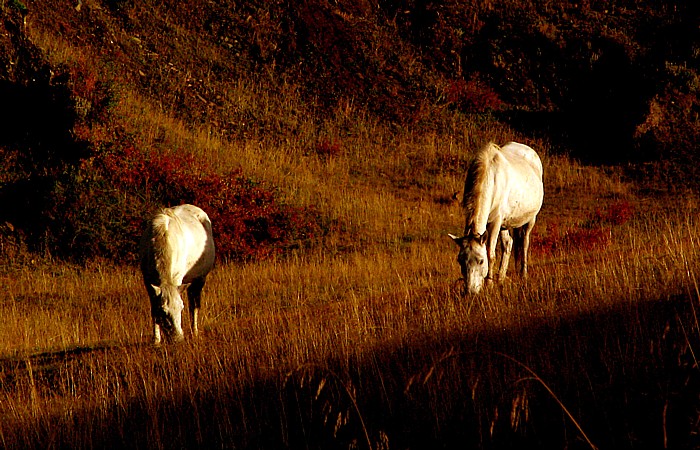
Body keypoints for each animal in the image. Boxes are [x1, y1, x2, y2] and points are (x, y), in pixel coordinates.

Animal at [137, 204, 213, 344]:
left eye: (180, 308)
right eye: (164, 311)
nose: (178, 339)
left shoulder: (177, 279)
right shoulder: (147, 281)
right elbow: (153, 309)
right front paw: (156, 340)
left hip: (200, 280)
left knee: (194, 305)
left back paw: (195, 331)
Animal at [452, 142, 544, 296]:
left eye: (481, 261)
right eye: (460, 261)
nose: (471, 291)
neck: (491, 177)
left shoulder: (495, 222)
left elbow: (491, 253)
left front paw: (489, 284)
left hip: (530, 219)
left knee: (524, 243)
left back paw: (523, 274)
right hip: (505, 225)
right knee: (508, 244)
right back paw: (501, 278)